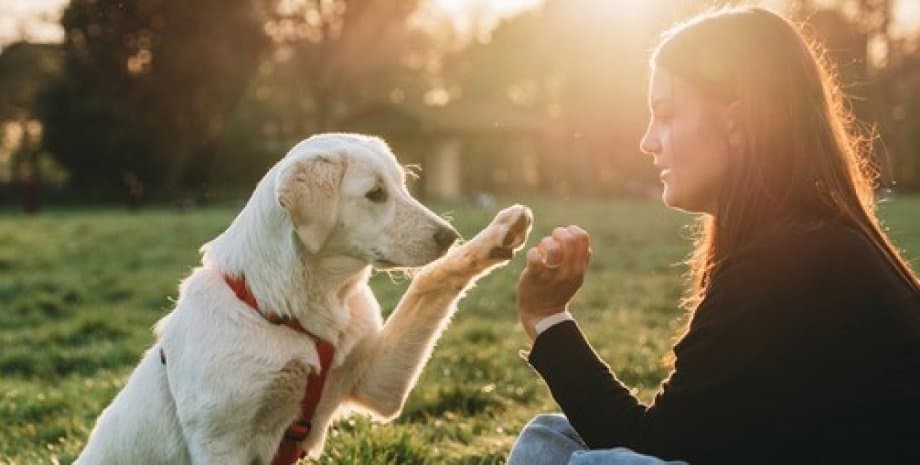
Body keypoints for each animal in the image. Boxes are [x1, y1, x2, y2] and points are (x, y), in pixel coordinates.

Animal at [77, 132, 540, 462]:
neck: (292, 312)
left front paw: (496, 236)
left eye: (402, 186)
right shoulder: (221, 443)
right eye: (375, 194)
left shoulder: (376, 383)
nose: (448, 235)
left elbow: (430, 280)